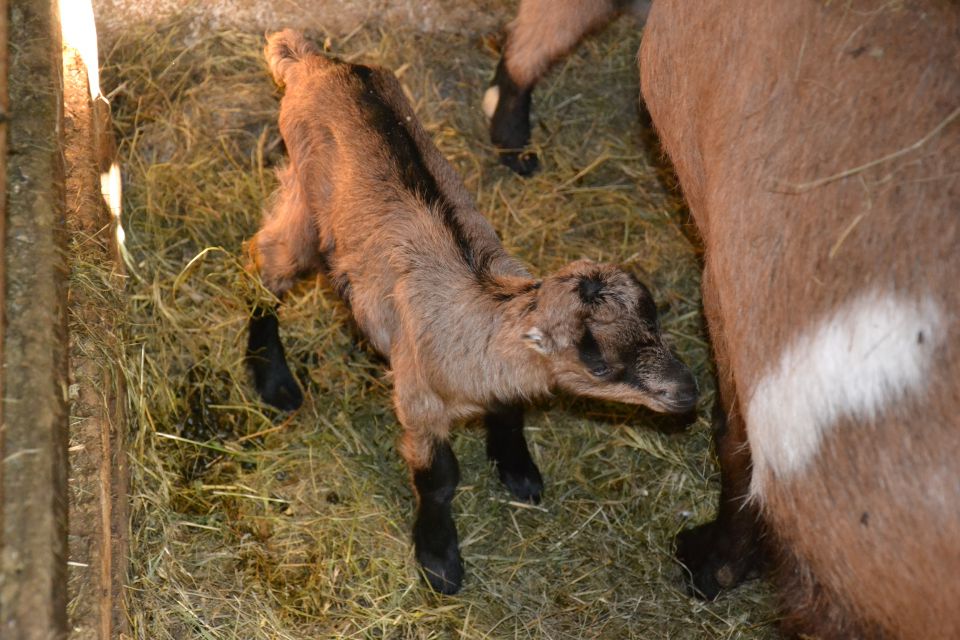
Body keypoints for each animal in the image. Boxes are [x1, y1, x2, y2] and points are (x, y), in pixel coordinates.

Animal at [246, 27, 696, 592]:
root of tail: (313, 62)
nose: (688, 392)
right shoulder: (419, 401)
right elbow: (438, 479)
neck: (482, 305)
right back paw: (274, 381)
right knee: (263, 262)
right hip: (305, 203)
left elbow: (509, 412)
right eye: (597, 361)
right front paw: (439, 560)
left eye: (655, 320)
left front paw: (519, 470)